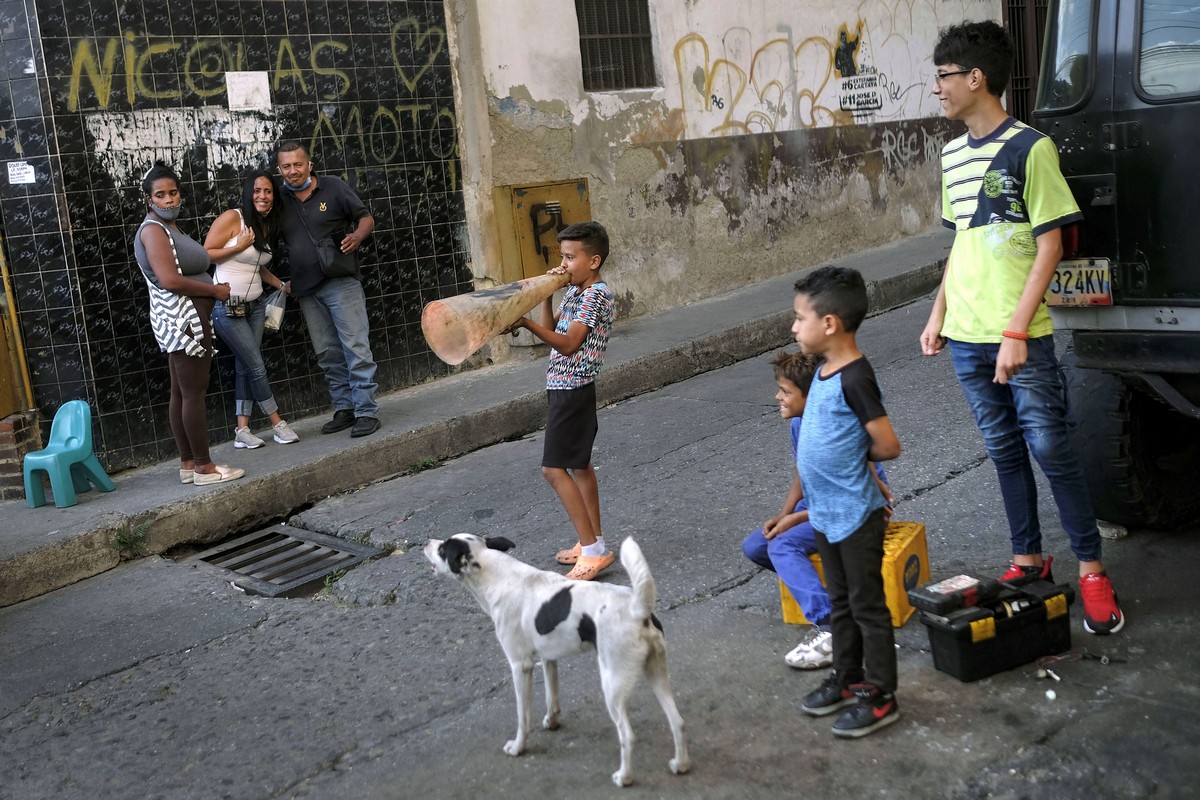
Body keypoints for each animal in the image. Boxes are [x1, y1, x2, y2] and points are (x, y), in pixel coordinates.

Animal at [424, 534, 691, 786]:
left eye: (443, 549)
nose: (426, 542)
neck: (498, 577)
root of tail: (637, 609)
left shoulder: (520, 666)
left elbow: (523, 717)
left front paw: (518, 747)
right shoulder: (548, 658)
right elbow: (552, 699)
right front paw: (551, 722)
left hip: (612, 685)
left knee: (627, 735)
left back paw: (624, 777)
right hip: (656, 672)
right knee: (677, 721)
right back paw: (680, 764)